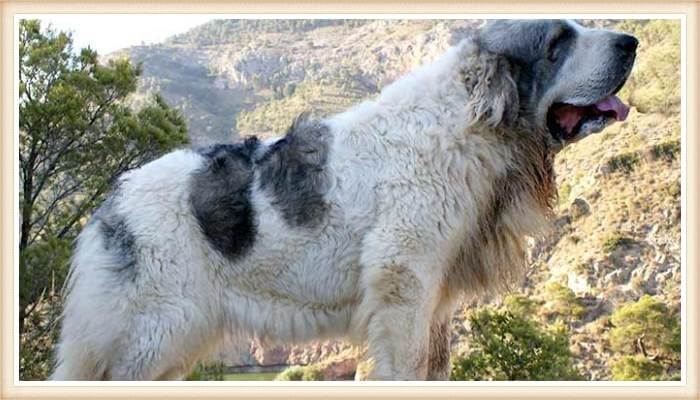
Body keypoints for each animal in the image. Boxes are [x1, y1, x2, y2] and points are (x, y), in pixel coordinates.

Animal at [52, 19, 636, 382]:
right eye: (558, 41)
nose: (630, 40)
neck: (471, 127)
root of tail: (110, 204)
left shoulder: (433, 301)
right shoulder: (404, 284)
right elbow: (405, 367)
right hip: (154, 329)